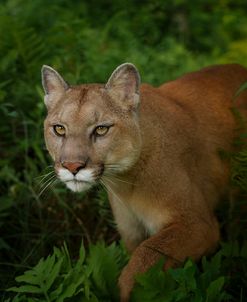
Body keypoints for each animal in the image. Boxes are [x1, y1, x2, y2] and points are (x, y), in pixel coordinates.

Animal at [41, 62, 247, 300]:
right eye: (59, 128)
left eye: (101, 129)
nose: (72, 166)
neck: (125, 184)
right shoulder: (131, 233)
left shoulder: (198, 224)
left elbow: (145, 256)